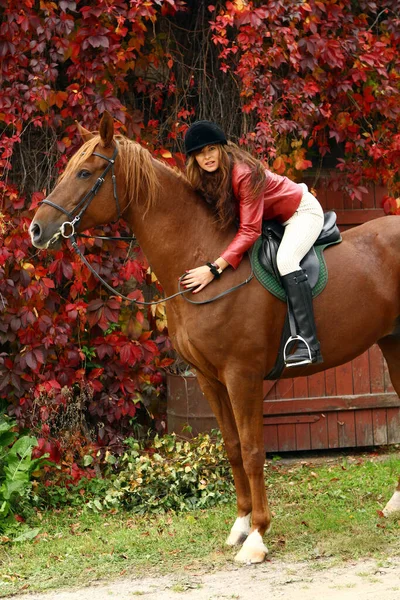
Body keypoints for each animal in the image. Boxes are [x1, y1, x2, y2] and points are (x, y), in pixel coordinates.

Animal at [30, 111, 400, 564]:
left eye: (84, 172)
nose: (36, 230)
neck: (200, 256)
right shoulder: (209, 379)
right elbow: (233, 447)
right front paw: (240, 526)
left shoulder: (242, 376)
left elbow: (254, 450)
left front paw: (258, 537)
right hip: (394, 345)